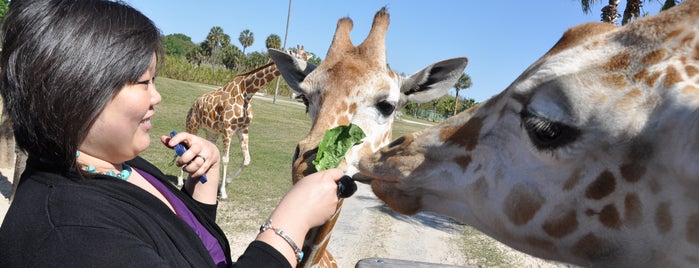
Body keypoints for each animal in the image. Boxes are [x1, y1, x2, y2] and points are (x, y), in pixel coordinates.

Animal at [183, 47, 308, 200]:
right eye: (297, 58)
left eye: (307, 59)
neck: (247, 92)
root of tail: (194, 104)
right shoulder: (228, 130)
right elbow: (225, 159)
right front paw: (223, 192)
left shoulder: (243, 129)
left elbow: (247, 159)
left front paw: (222, 185)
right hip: (192, 125)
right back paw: (179, 181)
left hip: (212, 132)